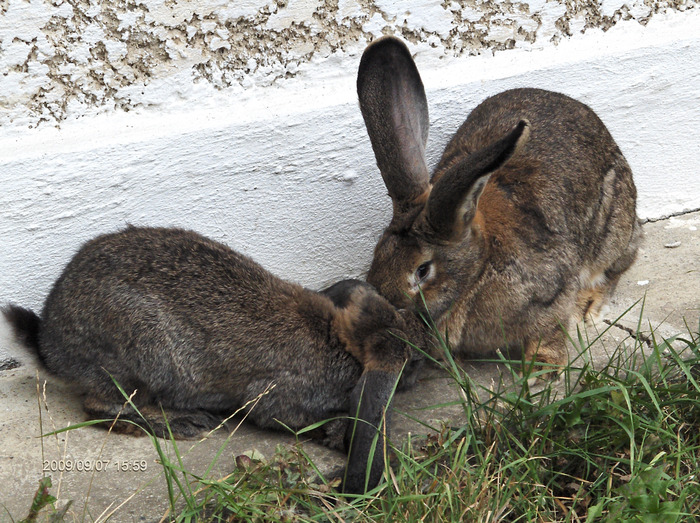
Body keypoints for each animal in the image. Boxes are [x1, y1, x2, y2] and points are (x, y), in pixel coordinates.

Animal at [4, 226, 426, 496]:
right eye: (410, 359)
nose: (427, 363)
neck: (339, 339)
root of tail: (52, 348)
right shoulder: (280, 398)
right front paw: (337, 433)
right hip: (143, 355)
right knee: (98, 406)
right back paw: (181, 423)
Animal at [358, 35, 644, 372]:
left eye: (423, 271)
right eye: (377, 255)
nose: (386, 308)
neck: (480, 267)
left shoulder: (554, 293)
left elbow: (551, 329)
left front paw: (541, 370)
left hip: (612, 226)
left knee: (618, 264)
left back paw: (589, 307)